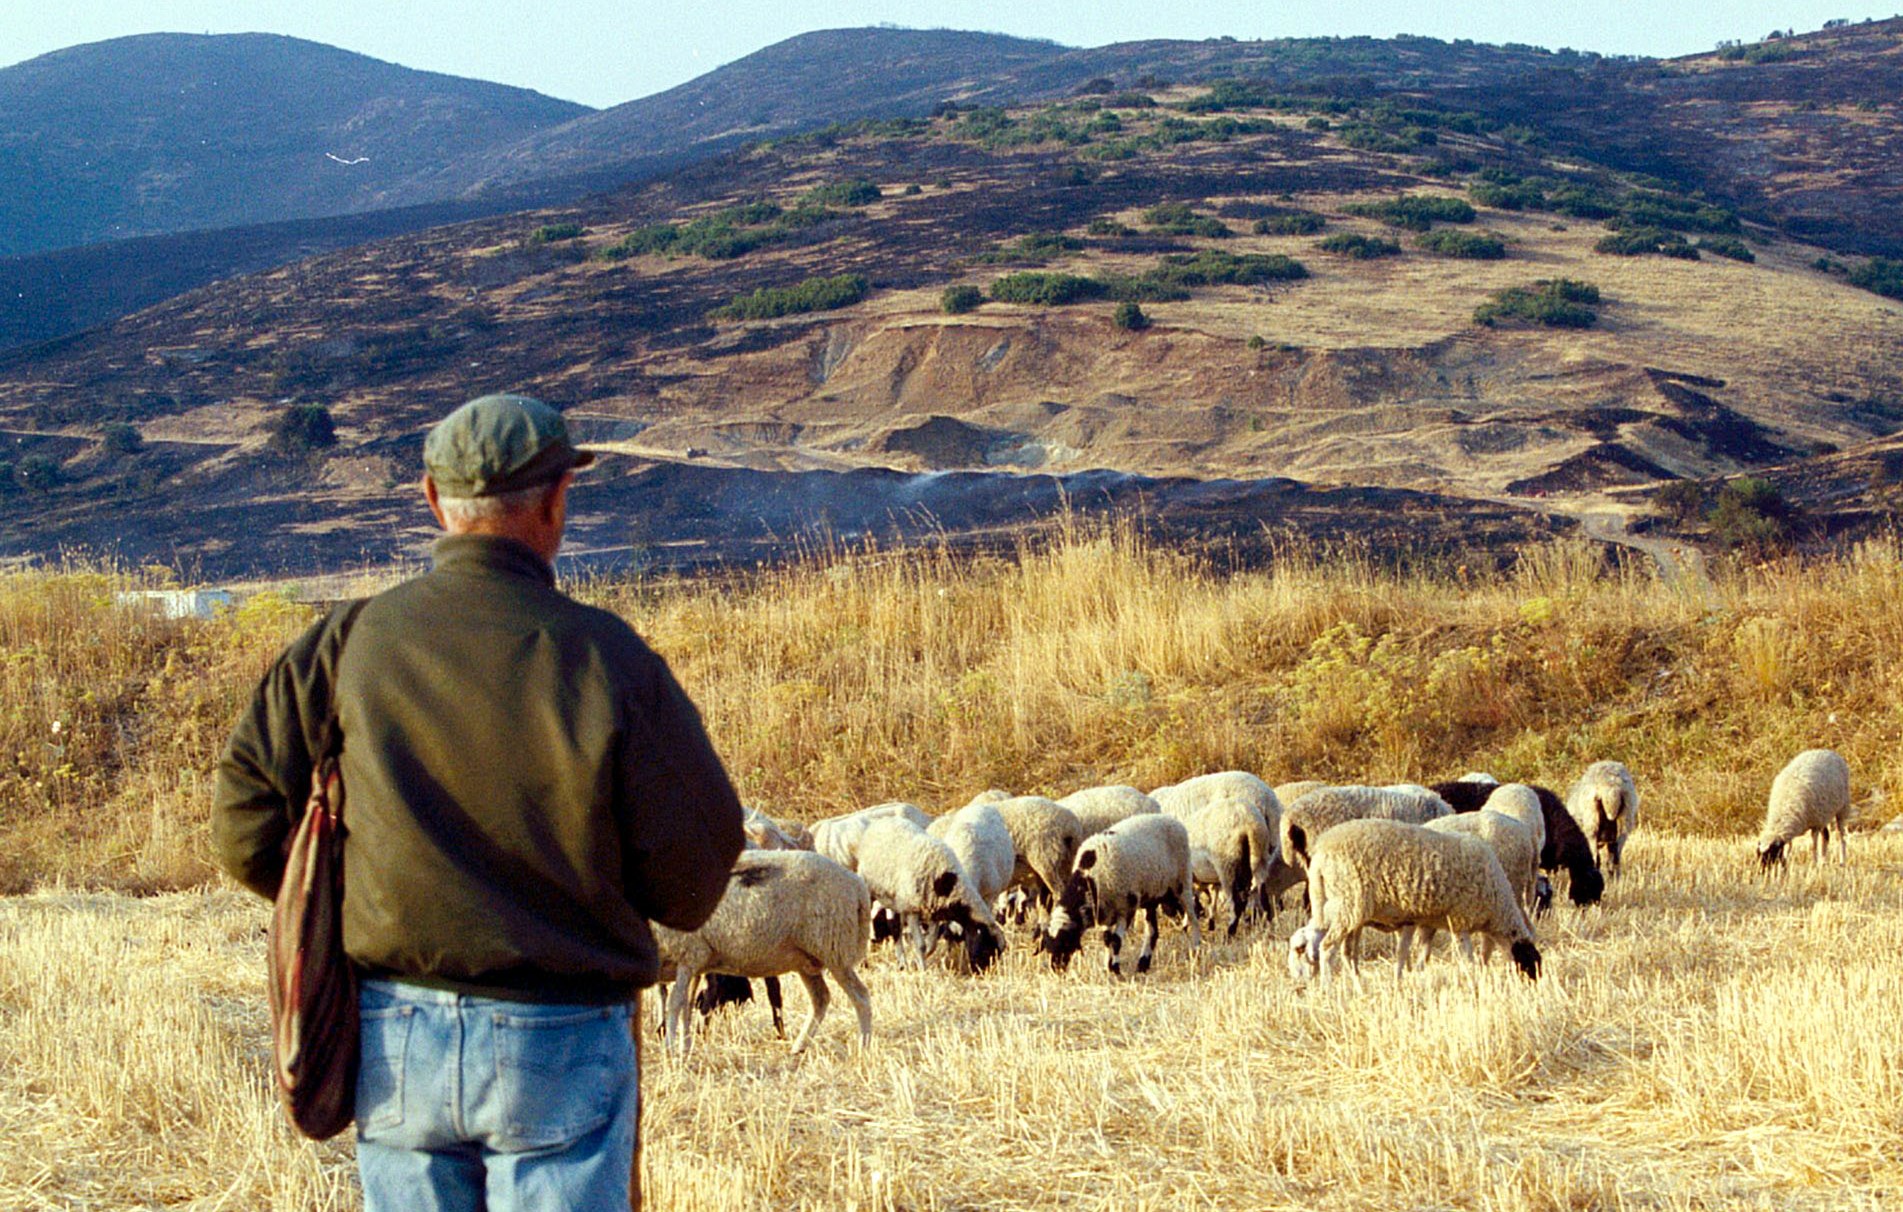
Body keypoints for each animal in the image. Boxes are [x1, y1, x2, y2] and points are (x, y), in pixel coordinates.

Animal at [650, 844, 867, 1057]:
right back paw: (799, 1047)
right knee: (820, 998)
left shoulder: (687, 954)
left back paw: (863, 1048)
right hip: (807, 960)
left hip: (834, 950)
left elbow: (675, 1003)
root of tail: (857, 884)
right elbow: (686, 1005)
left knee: (861, 996)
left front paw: (670, 1052)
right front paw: (684, 1050)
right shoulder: (696, 960)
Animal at [860, 814, 1012, 974]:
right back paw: (864, 961)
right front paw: (922, 969)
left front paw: (919, 961)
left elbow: (931, 943)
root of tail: (883, 820)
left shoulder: (934, 912)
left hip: (893, 899)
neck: (946, 883)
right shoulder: (912, 909)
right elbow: (920, 944)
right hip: (870, 889)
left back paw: (902, 963)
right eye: (987, 948)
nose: (983, 973)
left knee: (895, 928)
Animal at [1042, 806, 1202, 981]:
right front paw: (1108, 968)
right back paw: (1142, 964)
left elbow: (1116, 941)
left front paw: (1116, 969)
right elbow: (1107, 939)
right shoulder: (1104, 912)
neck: (1089, 878)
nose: (1056, 970)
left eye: (1065, 943)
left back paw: (1196, 951)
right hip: (1152, 895)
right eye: (1048, 947)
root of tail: (1173, 821)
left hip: (1182, 883)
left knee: (1192, 918)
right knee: (1153, 931)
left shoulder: (1126, 907)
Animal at [1286, 814, 1537, 981]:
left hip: (1350, 910)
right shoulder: (1451, 919)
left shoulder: (1424, 920)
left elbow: (1411, 954)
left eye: (1298, 949)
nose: (1297, 984)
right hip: (1350, 905)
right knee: (1329, 948)